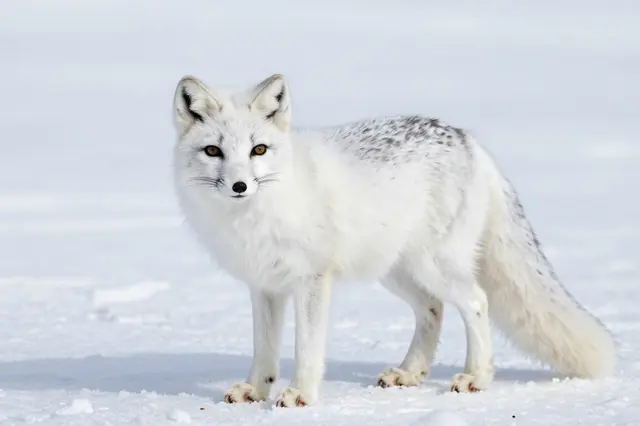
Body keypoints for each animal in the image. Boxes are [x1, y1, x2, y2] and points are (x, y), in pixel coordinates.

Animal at [171, 73, 616, 408]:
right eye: (213, 151)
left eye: (259, 149)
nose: (240, 186)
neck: (255, 216)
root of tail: (467, 138)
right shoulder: (264, 285)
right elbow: (264, 350)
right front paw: (256, 390)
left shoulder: (312, 280)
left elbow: (307, 348)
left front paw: (301, 395)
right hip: (396, 272)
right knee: (433, 309)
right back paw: (410, 372)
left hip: (433, 265)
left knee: (476, 302)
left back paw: (475, 377)